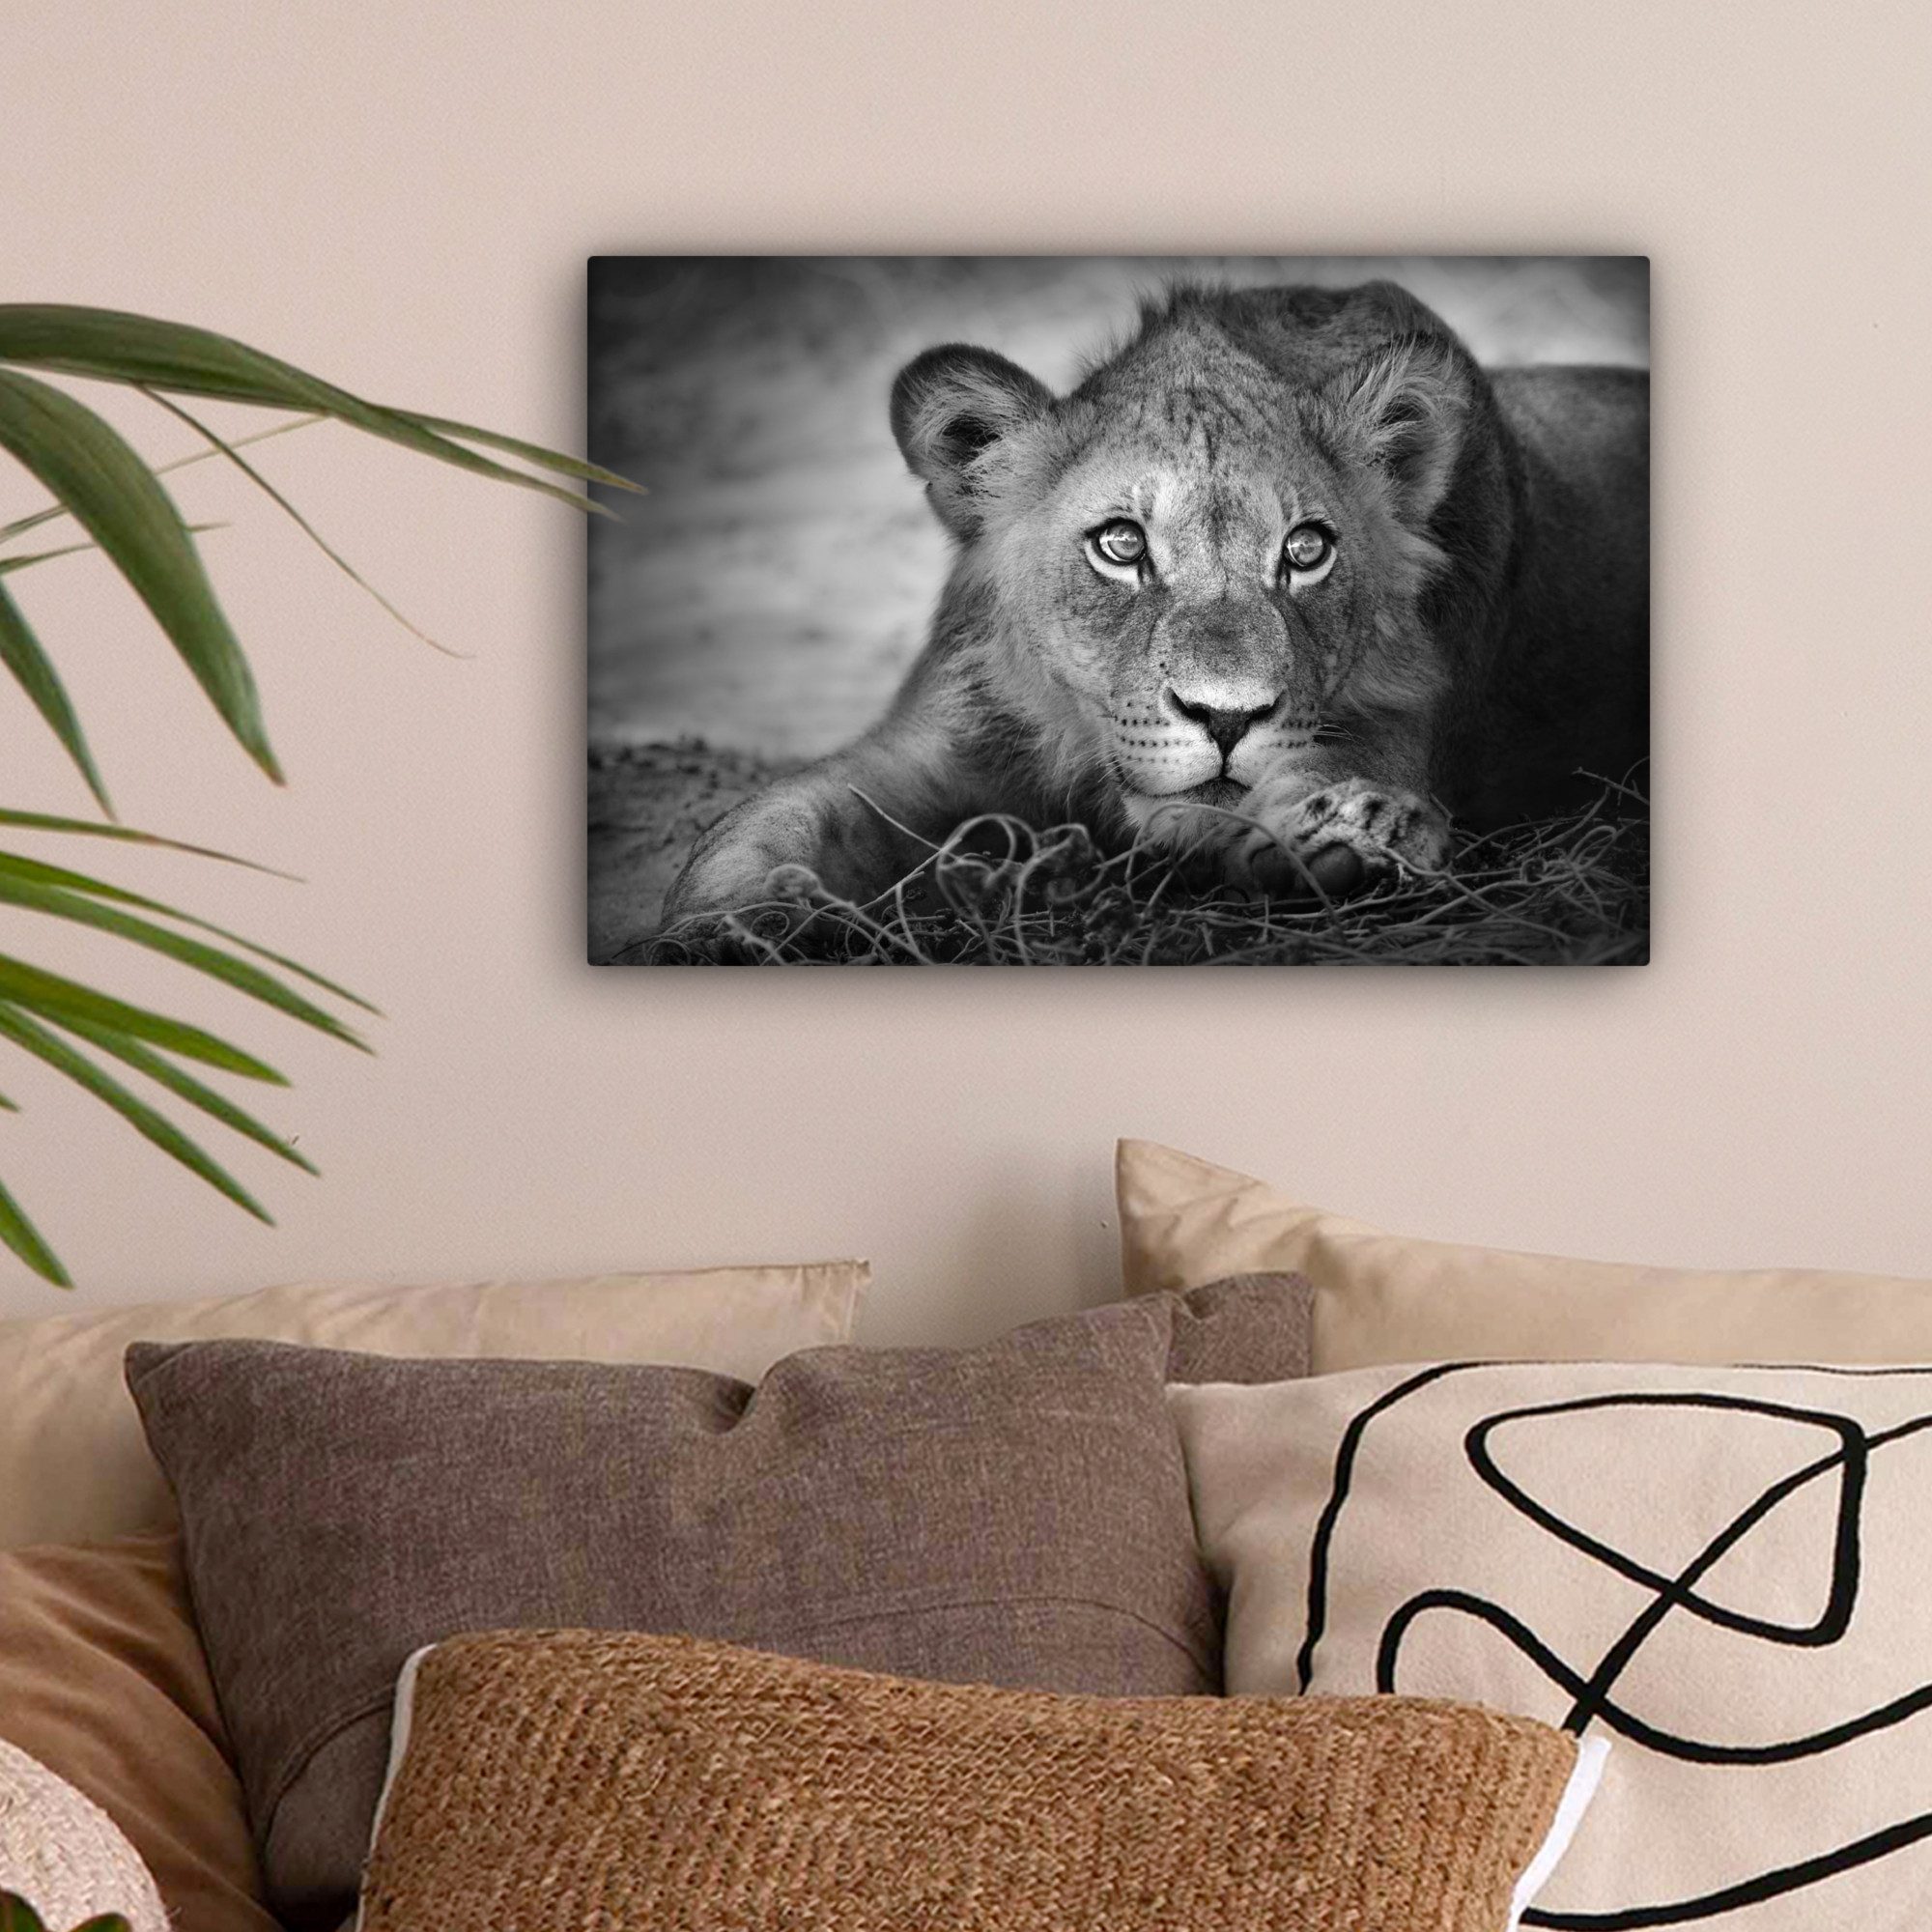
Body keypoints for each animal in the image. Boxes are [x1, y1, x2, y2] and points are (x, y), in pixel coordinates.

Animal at [660, 278, 1647, 925]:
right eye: (1121, 545)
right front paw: (728, 927)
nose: (1226, 717)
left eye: (1306, 551)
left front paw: (1354, 837)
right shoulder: (929, 748)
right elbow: (771, 819)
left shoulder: (1395, 724)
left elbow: (1334, 775)